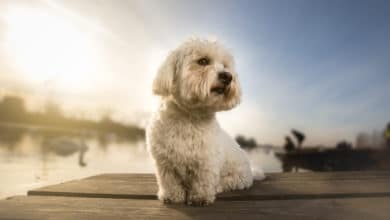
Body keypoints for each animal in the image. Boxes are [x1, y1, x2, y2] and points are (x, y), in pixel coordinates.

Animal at [146, 38, 266, 205]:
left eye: (225, 66)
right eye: (203, 61)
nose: (228, 76)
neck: (190, 117)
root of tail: (251, 171)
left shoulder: (207, 161)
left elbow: (203, 181)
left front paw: (200, 198)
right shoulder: (165, 162)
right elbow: (170, 181)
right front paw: (172, 196)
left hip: (238, 177)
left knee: (228, 182)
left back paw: (218, 188)